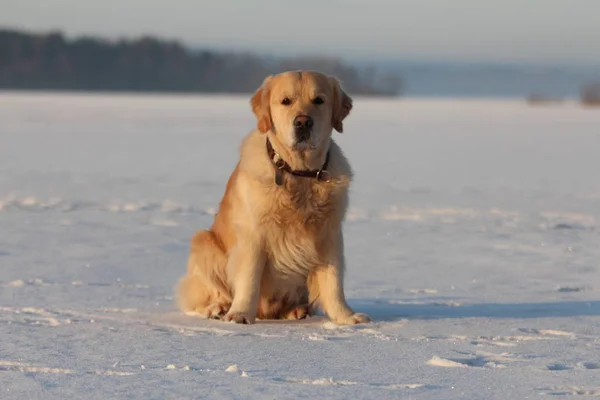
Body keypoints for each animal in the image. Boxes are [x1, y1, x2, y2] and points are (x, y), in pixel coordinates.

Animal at [175, 70, 370, 324]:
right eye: (285, 101)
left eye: (319, 100)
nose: (303, 122)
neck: (299, 174)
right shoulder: (253, 235)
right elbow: (249, 278)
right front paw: (240, 314)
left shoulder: (330, 234)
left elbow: (334, 281)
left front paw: (346, 317)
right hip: (203, 242)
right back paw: (217, 308)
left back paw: (297, 310)